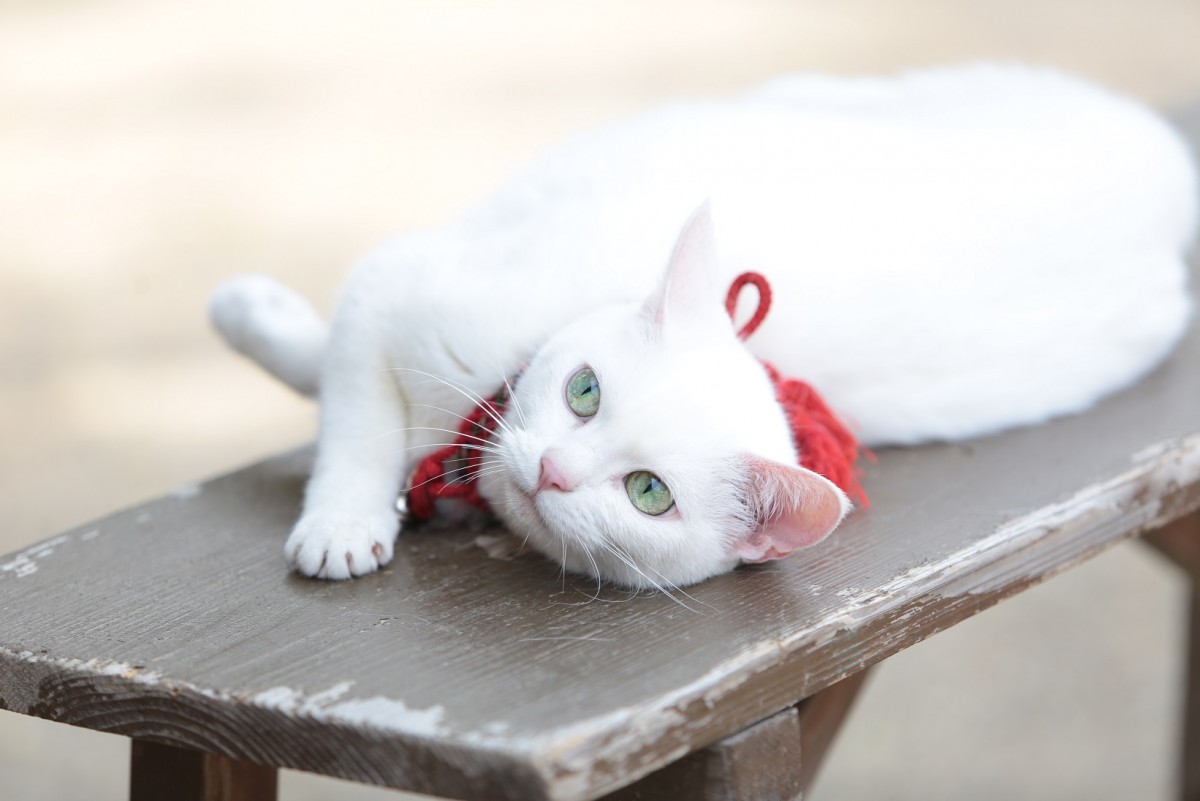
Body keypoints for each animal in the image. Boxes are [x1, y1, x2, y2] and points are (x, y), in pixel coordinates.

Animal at [211, 64, 1195, 587]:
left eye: (649, 493)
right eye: (584, 390)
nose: (556, 468)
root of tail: (1163, 161)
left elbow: (345, 399)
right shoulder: (393, 290)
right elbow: (353, 413)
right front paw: (341, 514)